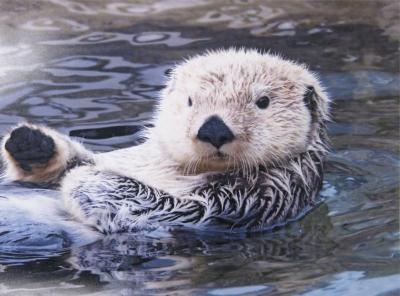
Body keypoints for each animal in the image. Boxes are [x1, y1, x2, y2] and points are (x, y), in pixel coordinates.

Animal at [0, 49, 330, 234]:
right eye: (190, 100)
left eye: (262, 102)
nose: (214, 130)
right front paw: (30, 143)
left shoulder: (251, 199)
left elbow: (160, 206)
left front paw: (88, 178)